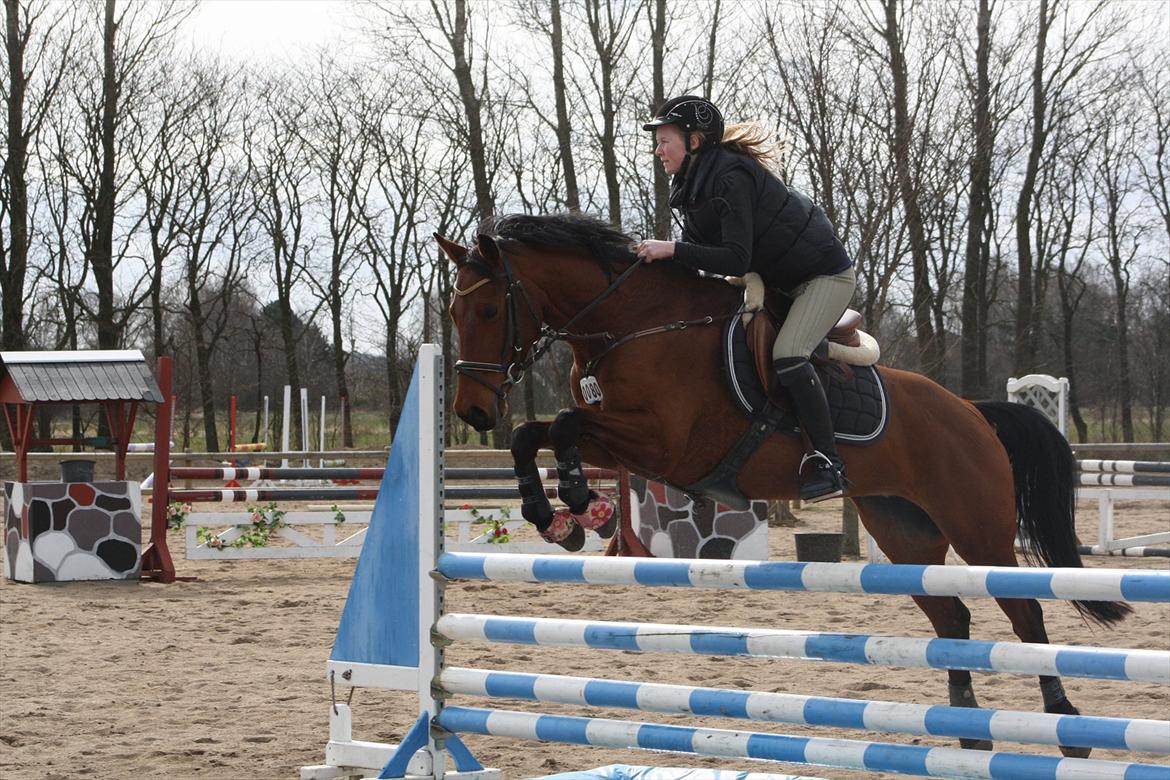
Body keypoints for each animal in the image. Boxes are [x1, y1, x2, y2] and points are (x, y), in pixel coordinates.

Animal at [436, 212, 1129, 759]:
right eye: (453, 311)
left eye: (490, 308)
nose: (472, 410)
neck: (635, 325)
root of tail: (973, 411)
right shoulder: (629, 440)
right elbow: (534, 434)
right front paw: (555, 517)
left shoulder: (665, 443)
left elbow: (563, 426)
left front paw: (583, 504)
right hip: (904, 532)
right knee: (953, 616)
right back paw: (967, 729)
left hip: (976, 526)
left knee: (1025, 613)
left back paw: (1065, 726)